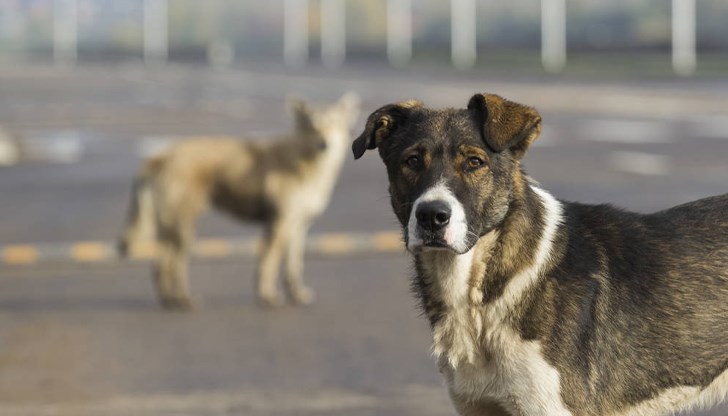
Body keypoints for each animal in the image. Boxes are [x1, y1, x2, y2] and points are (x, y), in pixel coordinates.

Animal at [119, 93, 362, 308]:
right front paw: (268, 296)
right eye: (312, 127)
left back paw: (171, 301)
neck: (306, 163)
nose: (323, 144)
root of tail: (159, 157)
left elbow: (293, 267)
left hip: (169, 228)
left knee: (159, 266)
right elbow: (268, 263)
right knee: (174, 266)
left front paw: (296, 295)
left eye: (334, 125)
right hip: (183, 229)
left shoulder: (299, 228)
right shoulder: (279, 225)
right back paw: (184, 301)